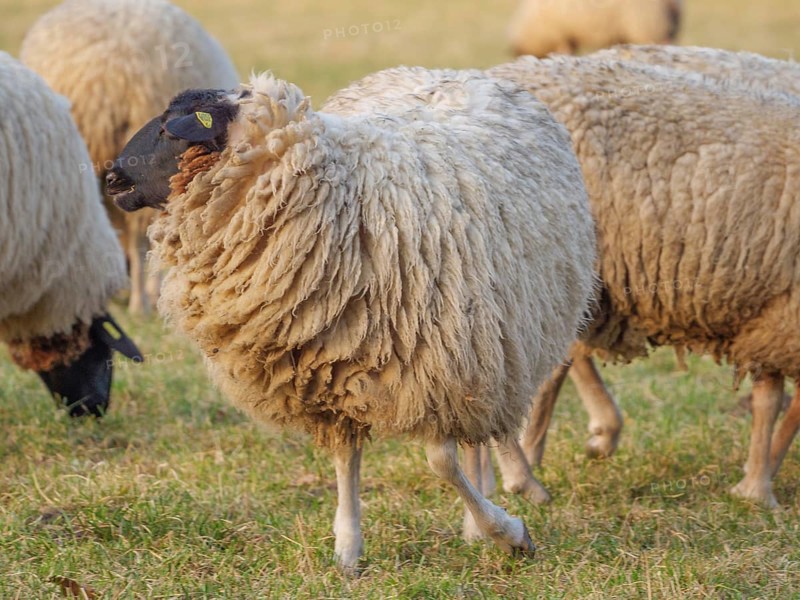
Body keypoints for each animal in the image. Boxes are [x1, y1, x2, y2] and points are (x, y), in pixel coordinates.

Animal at [104, 68, 597, 569]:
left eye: (171, 129)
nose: (111, 175)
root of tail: (456, 73)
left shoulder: (437, 368)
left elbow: (441, 462)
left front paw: (509, 532)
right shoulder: (329, 370)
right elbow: (346, 459)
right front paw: (347, 549)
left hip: (494, 346)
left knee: (484, 430)